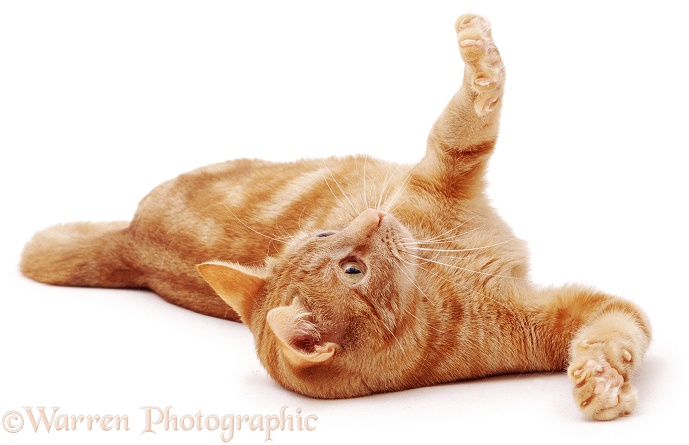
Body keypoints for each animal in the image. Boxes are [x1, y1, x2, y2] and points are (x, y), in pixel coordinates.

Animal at [18, 13, 648, 420]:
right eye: (352, 270)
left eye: (325, 232)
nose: (373, 218)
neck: (438, 277)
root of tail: (130, 241)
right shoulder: (557, 317)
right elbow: (622, 328)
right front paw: (603, 382)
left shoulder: (441, 171)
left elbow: (462, 123)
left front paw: (600, 379)